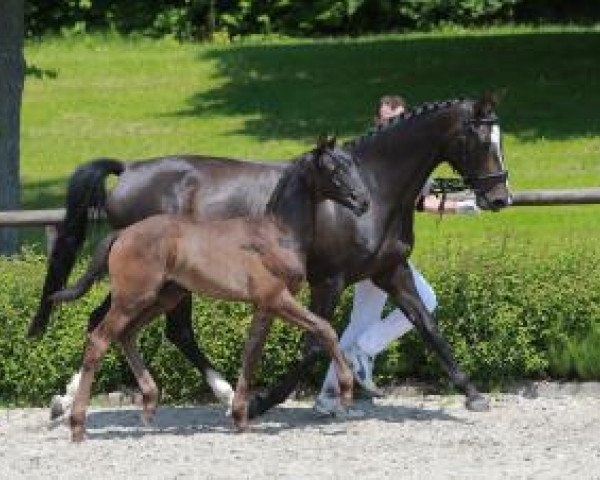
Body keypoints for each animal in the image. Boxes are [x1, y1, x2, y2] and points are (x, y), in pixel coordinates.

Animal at [52, 137, 370, 440]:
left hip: (163, 297)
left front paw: (241, 415)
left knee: (127, 334)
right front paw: (345, 392)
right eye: (333, 169)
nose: (363, 201)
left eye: (352, 164)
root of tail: (121, 234)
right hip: (133, 298)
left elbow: (251, 353)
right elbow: (325, 330)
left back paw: (149, 403)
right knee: (100, 339)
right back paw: (77, 424)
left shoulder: (265, 306)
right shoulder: (277, 298)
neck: (276, 234)